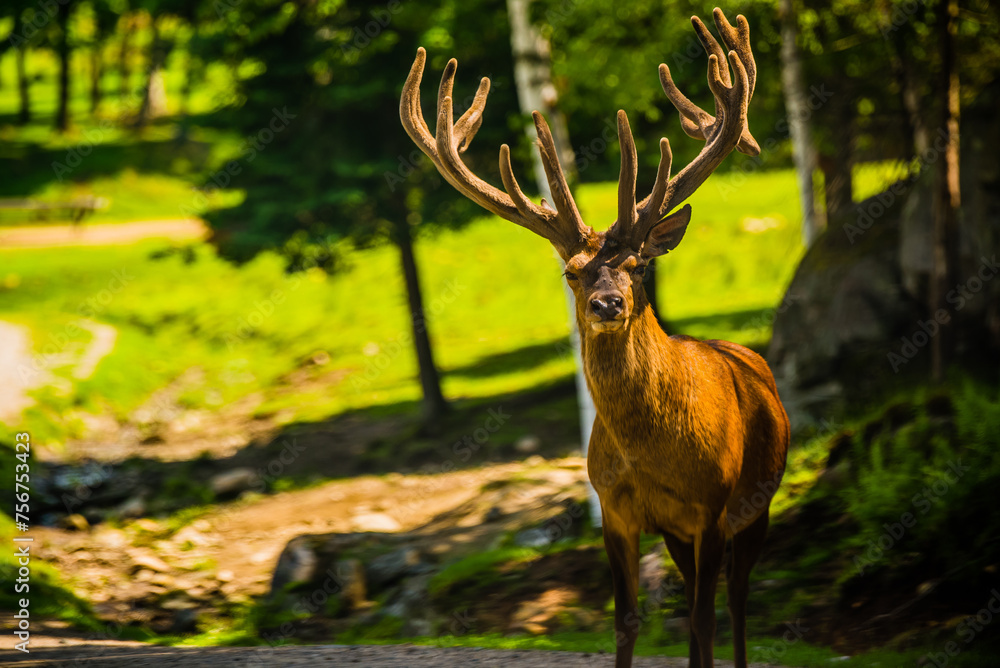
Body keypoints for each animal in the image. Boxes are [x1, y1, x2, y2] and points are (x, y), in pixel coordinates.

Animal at [400, 8, 789, 668]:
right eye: (572, 272)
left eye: (637, 264)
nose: (608, 303)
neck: (650, 455)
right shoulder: (617, 511)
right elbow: (627, 620)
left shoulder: (711, 507)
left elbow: (703, 619)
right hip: (683, 533)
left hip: (756, 501)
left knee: (736, 604)